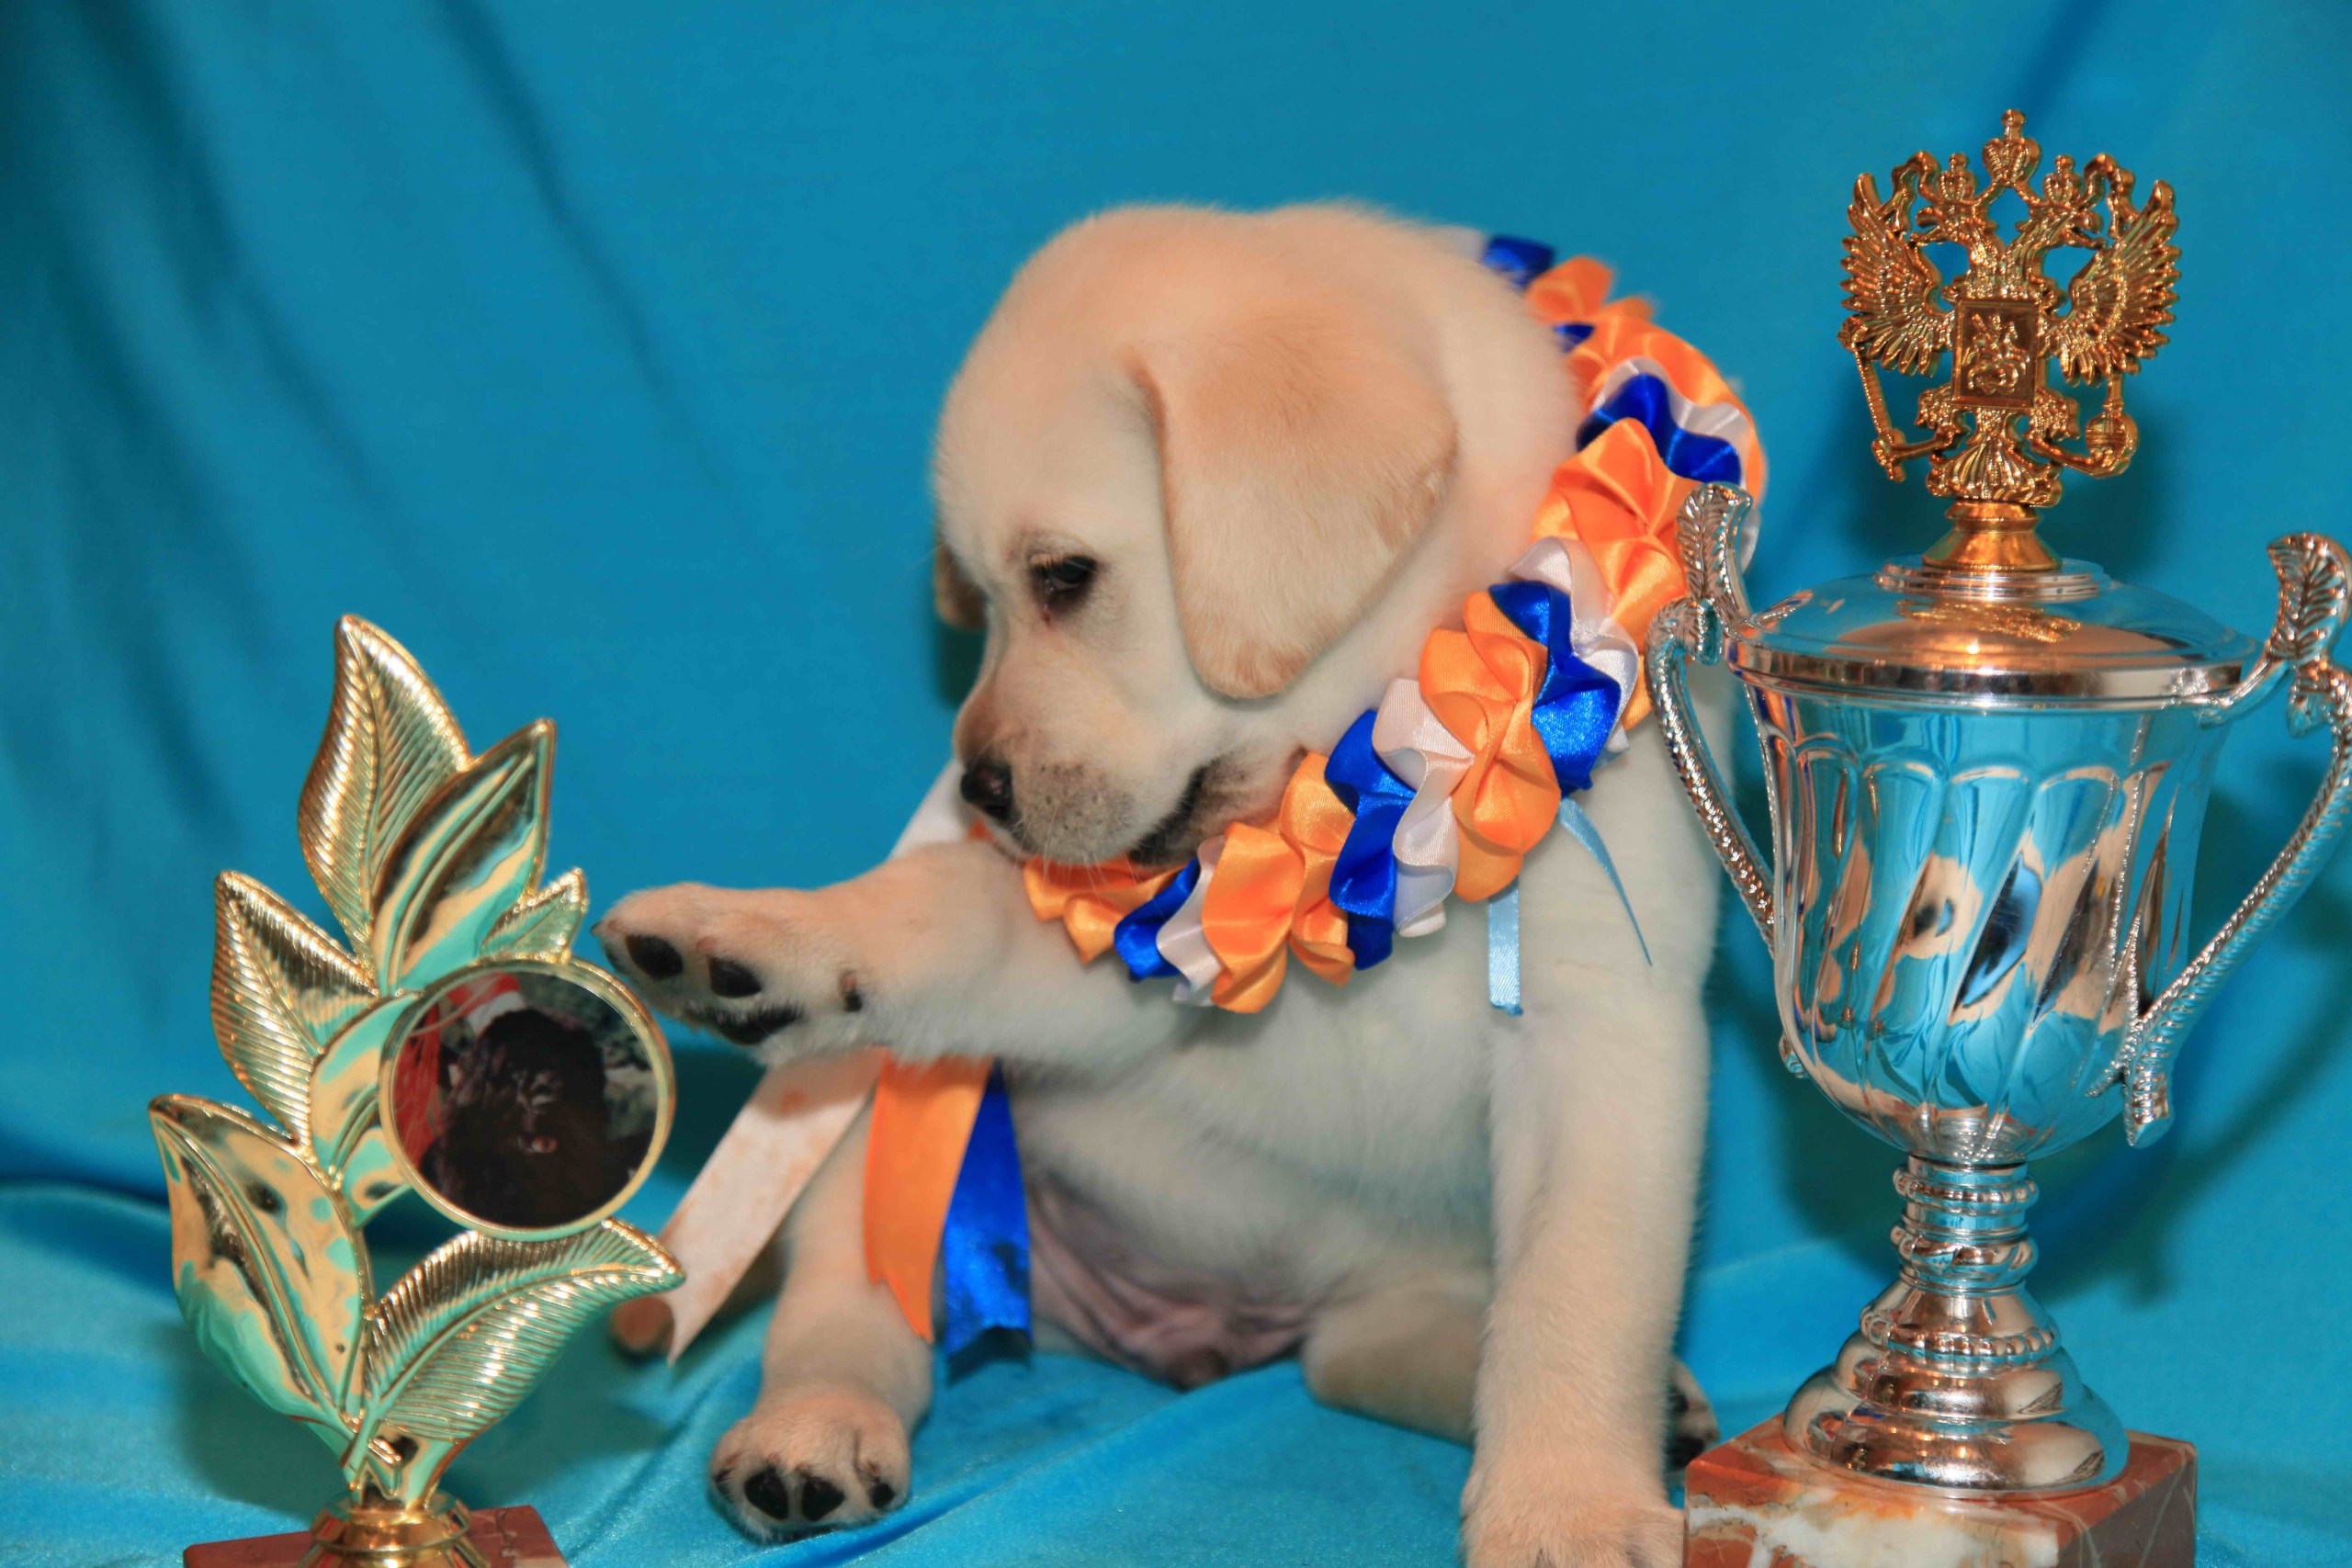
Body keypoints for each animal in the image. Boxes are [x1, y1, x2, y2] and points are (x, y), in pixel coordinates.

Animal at [598, 203, 1732, 1568]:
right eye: (979, 599)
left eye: (1064, 577)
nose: (976, 789)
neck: (1374, 777)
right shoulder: (1114, 954)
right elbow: (942, 912)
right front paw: (761, 934)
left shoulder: (1602, 1023)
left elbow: (1573, 1299)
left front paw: (1568, 1507)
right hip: (874, 1140)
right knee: (848, 1308)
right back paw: (810, 1432)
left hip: (1389, 1279)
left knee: (1370, 1349)